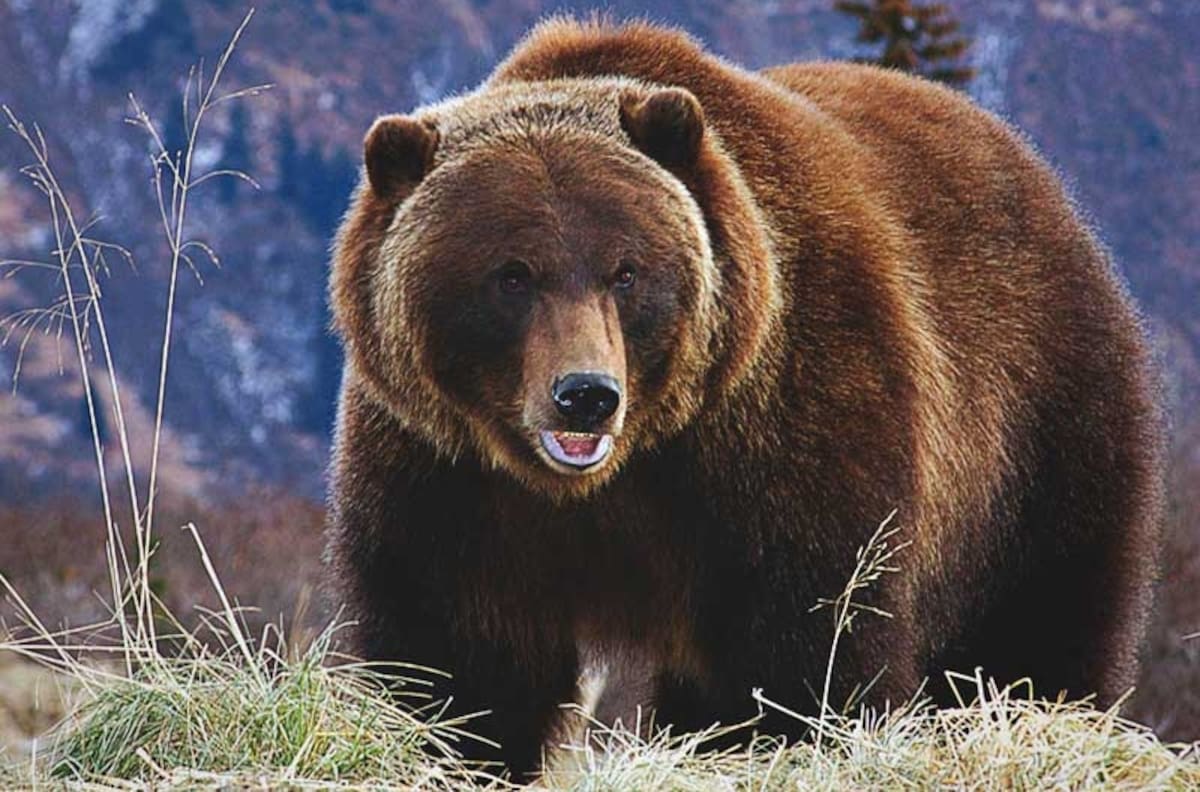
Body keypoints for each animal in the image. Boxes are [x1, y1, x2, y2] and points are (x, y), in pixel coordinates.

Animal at [325, 17, 1165, 778]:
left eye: (625, 270)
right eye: (511, 273)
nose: (586, 397)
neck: (611, 479)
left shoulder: (783, 442)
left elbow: (805, 650)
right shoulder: (449, 480)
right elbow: (457, 663)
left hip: (1039, 430)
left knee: (1040, 625)